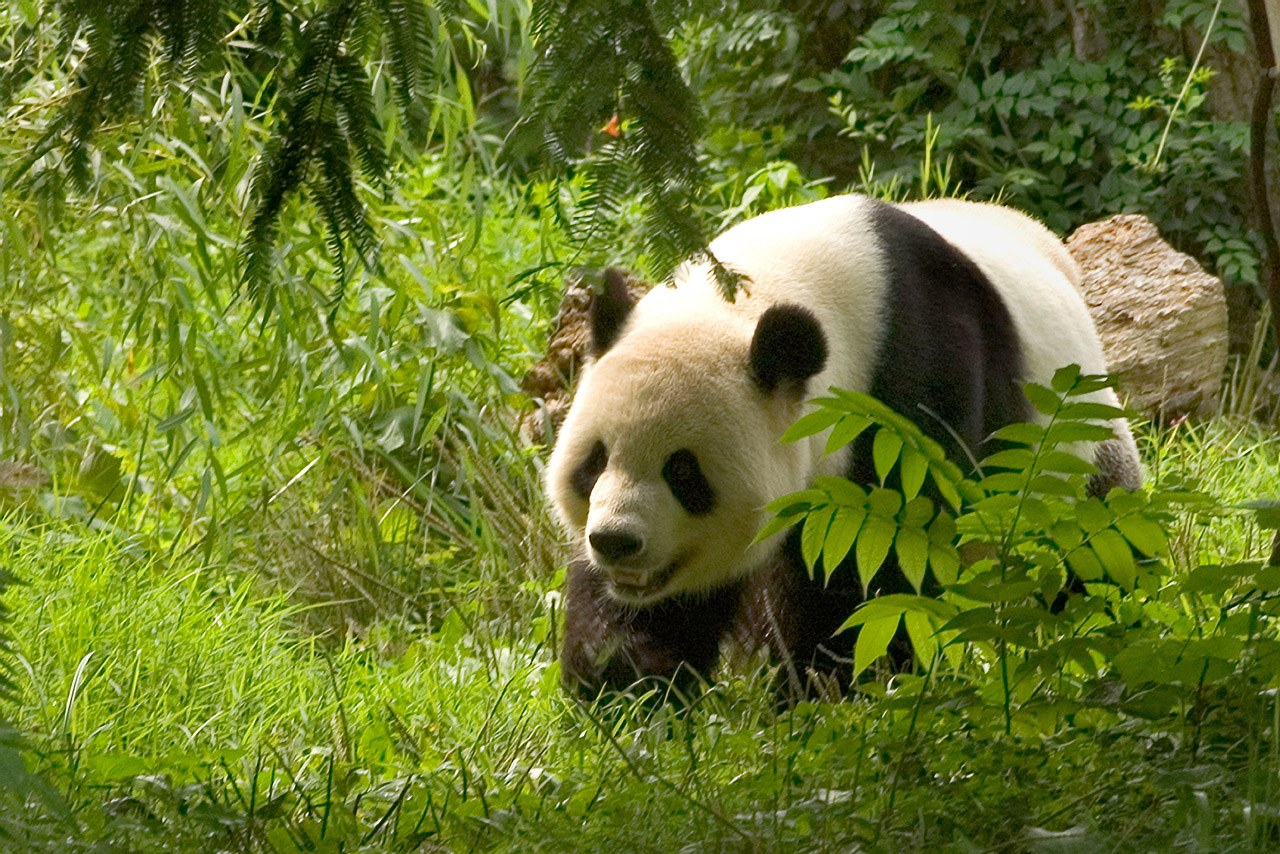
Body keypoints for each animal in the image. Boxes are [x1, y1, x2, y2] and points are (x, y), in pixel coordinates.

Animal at [545, 194, 1142, 700]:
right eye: (594, 462)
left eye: (684, 473)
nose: (616, 541)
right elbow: (656, 610)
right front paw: (628, 689)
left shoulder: (914, 384)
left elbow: (883, 556)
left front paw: (832, 685)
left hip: (1075, 452)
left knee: (1098, 550)